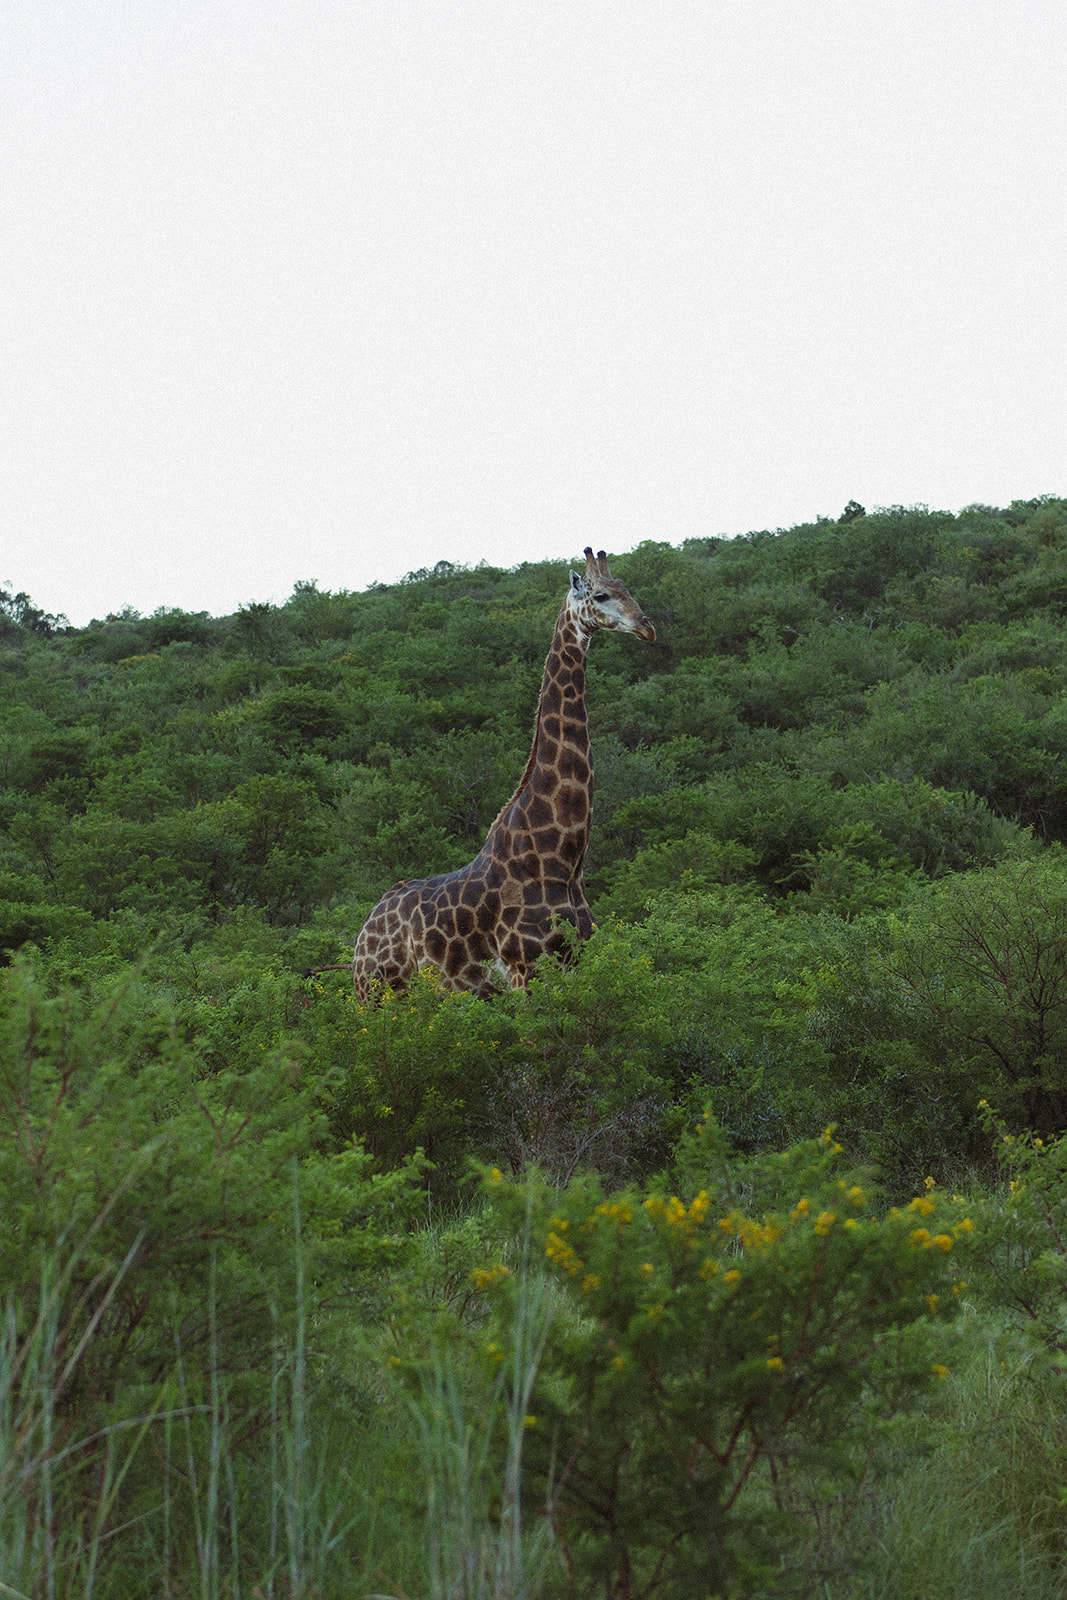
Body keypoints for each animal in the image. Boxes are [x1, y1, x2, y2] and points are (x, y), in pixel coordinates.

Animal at [352, 548, 655, 999]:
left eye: (628, 589)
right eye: (600, 595)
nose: (647, 627)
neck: (562, 858)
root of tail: (360, 935)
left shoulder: (576, 959)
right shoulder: (524, 970)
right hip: (376, 992)